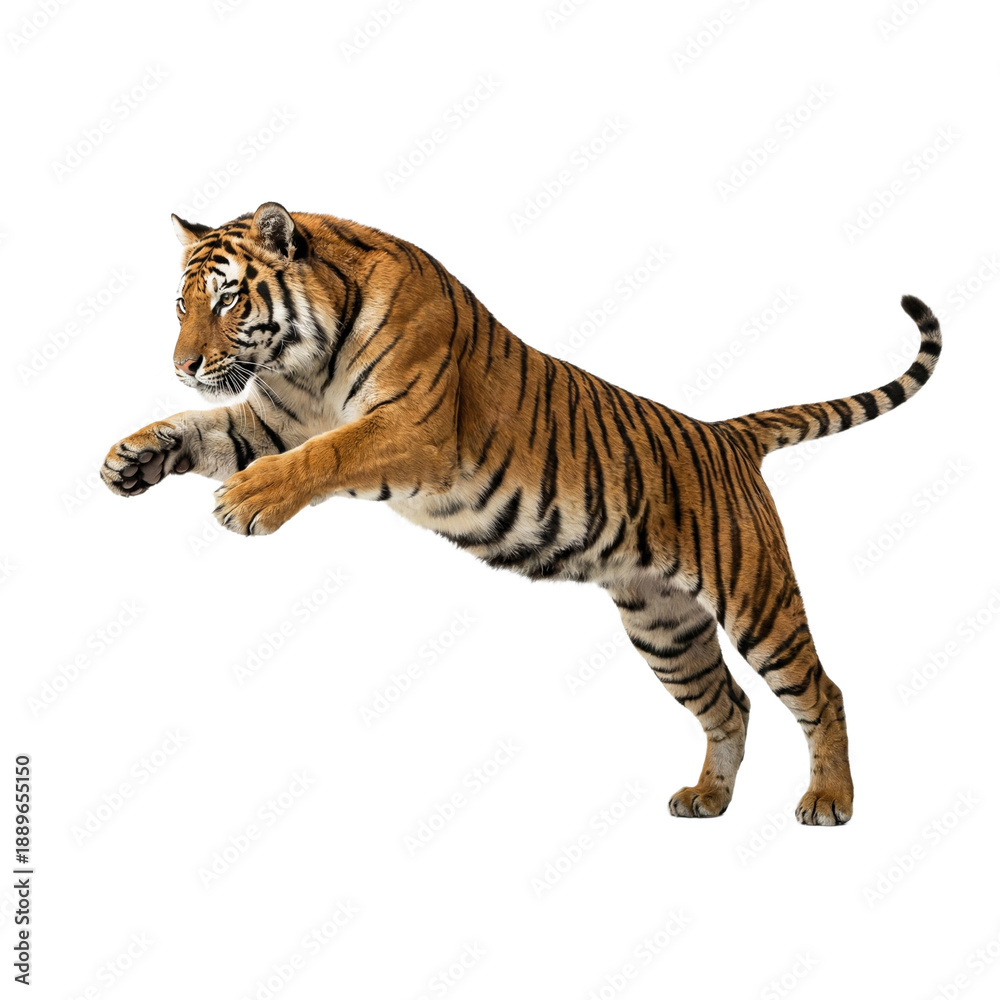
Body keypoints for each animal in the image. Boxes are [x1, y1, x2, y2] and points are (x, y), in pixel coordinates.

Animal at [101, 201, 941, 825]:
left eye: (227, 299)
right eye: (181, 304)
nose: (181, 365)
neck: (307, 359)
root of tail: (726, 433)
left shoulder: (412, 432)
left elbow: (324, 457)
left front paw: (246, 501)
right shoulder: (270, 422)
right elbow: (203, 429)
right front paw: (132, 457)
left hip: (756, 597)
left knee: (821, 691)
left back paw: (829, 801)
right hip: (664, 624)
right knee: (727, 702)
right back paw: (708, 797)